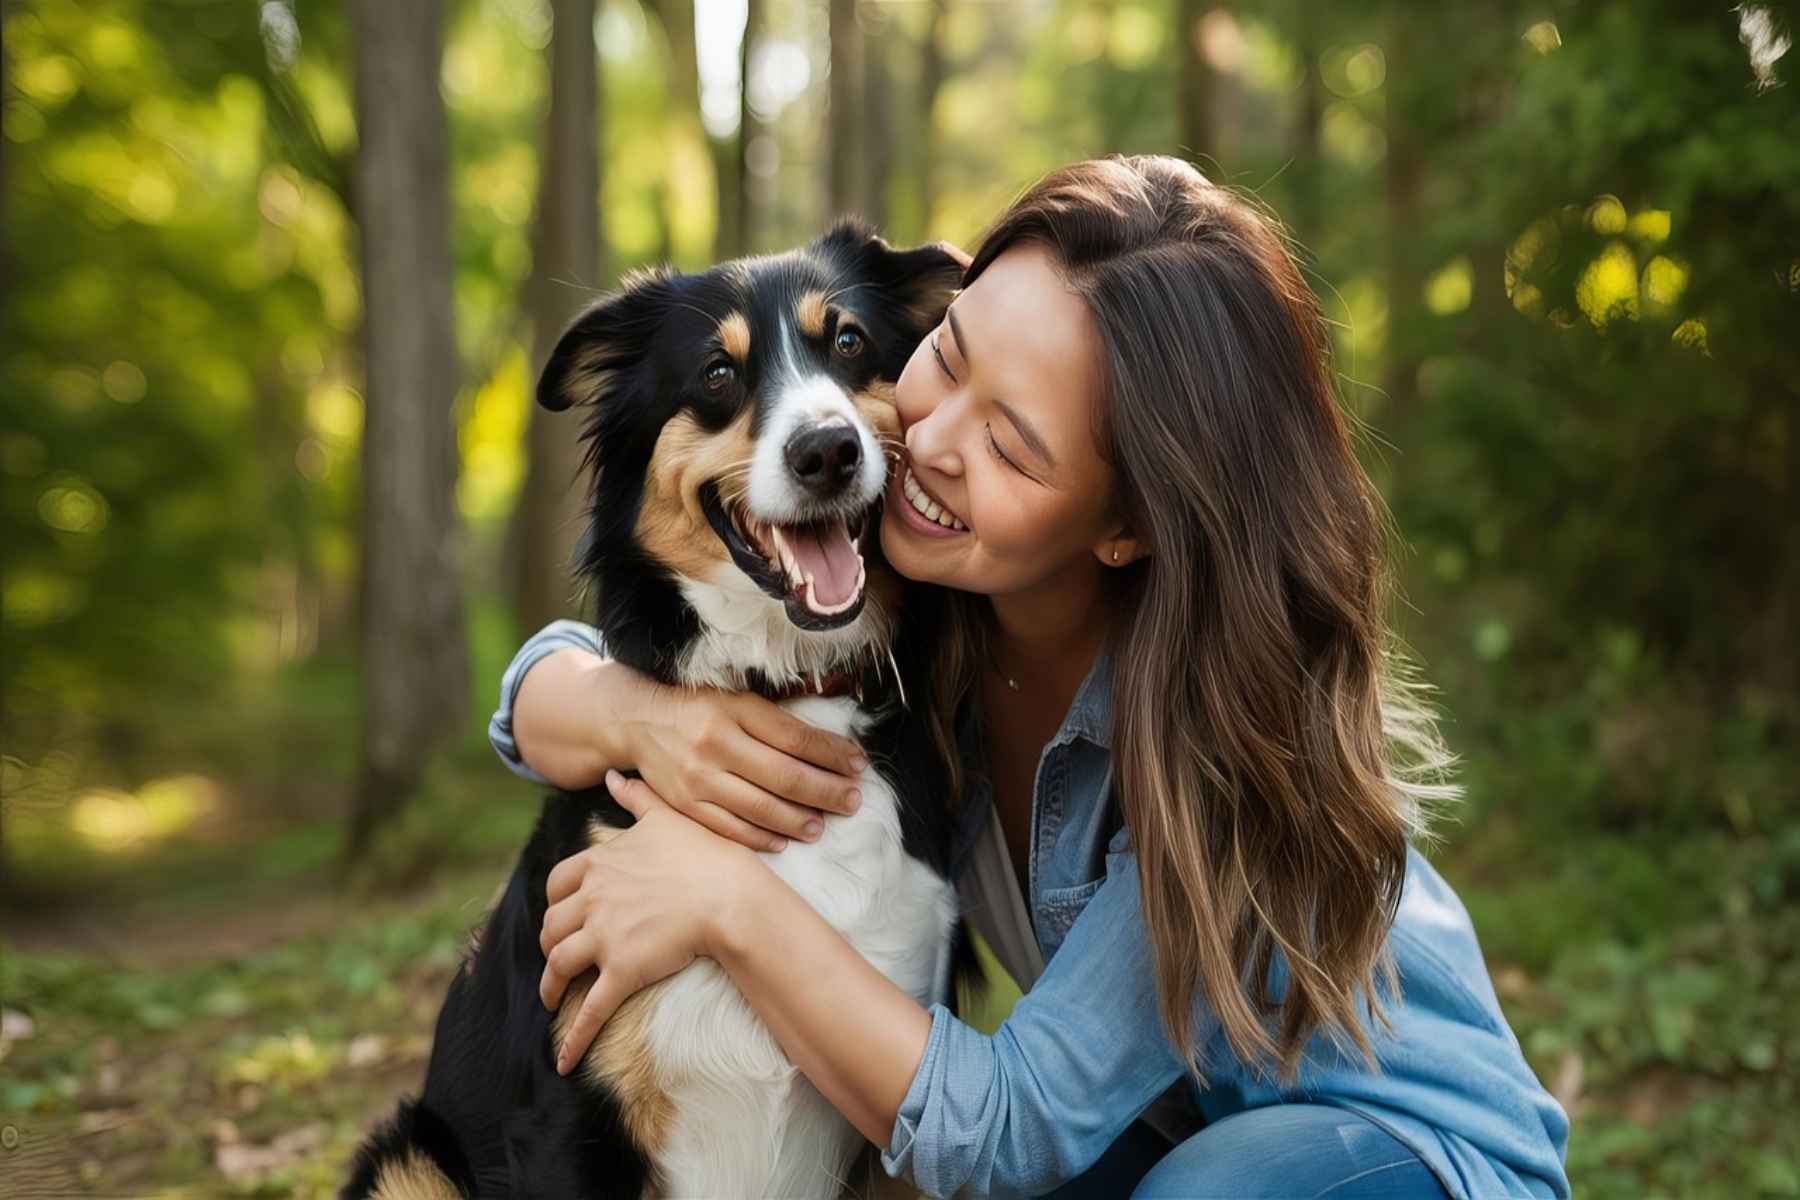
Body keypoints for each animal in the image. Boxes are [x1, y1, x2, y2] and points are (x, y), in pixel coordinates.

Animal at [342, 218, 979, 1200]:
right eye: (717, 375)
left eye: (848, 342)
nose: (827, 450)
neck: (788, 691)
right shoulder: (562, 1112)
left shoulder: (901, 1118)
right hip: (408, 1161)